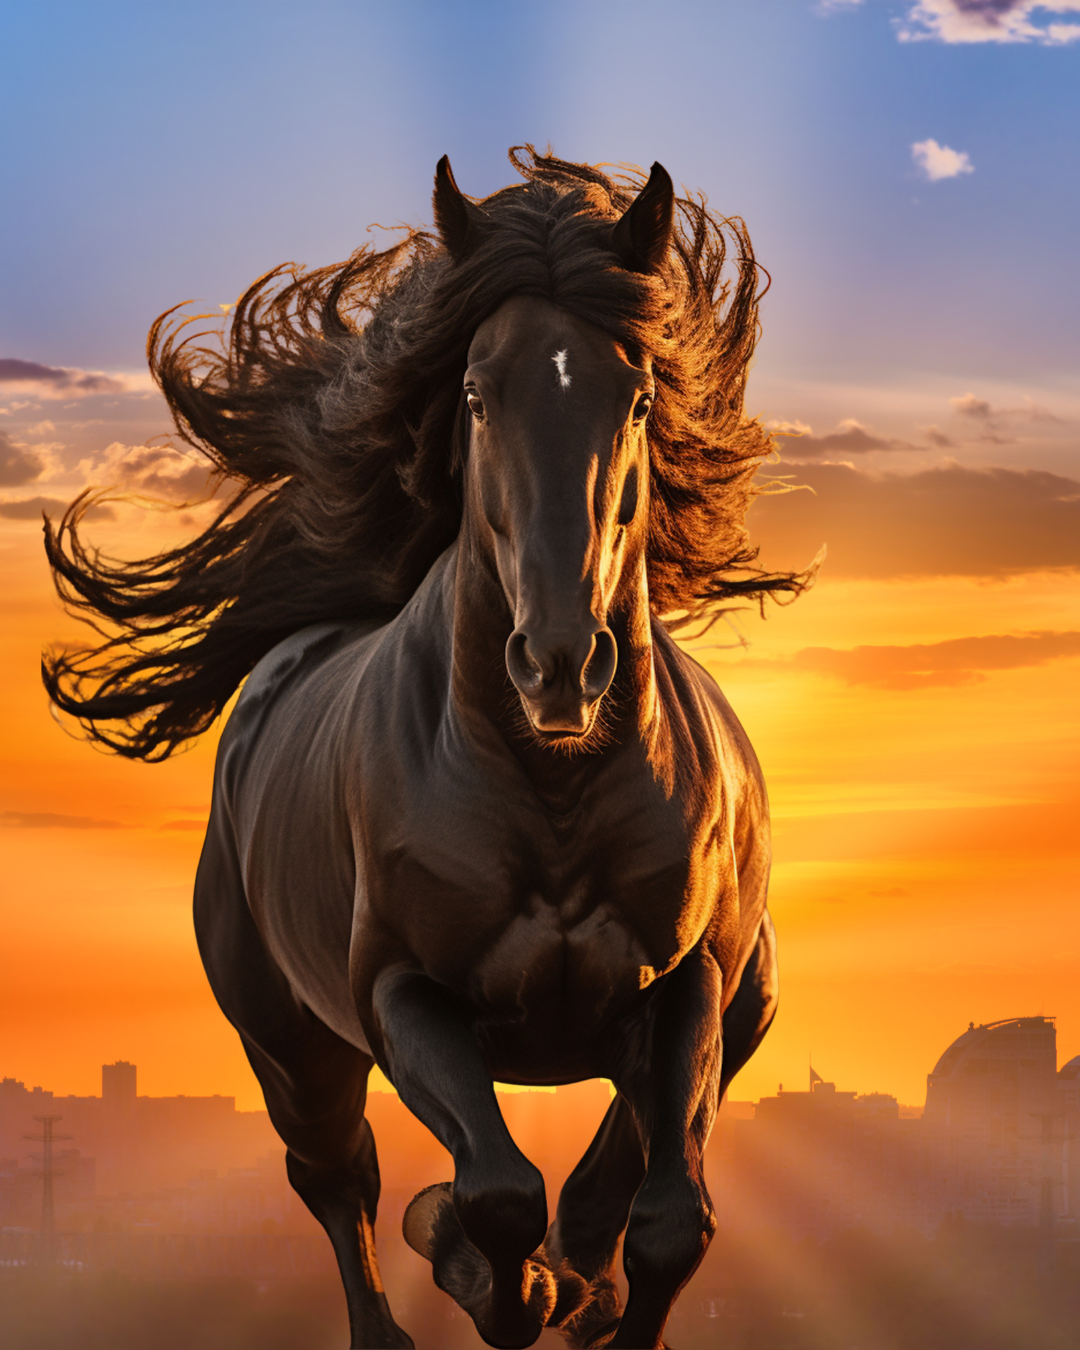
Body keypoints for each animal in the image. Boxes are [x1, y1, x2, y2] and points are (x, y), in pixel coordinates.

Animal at [43, 148, 810, 1349]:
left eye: (639, 396)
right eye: (477, 395)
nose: (560, 664)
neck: (553, 789)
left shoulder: (691, 980)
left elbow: (671, 1218)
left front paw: (583, 1283)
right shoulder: (402, 995)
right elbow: (495, 1193)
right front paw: (485, 1268)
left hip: (747, 992)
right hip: (289, 1046)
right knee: (336, 1179)